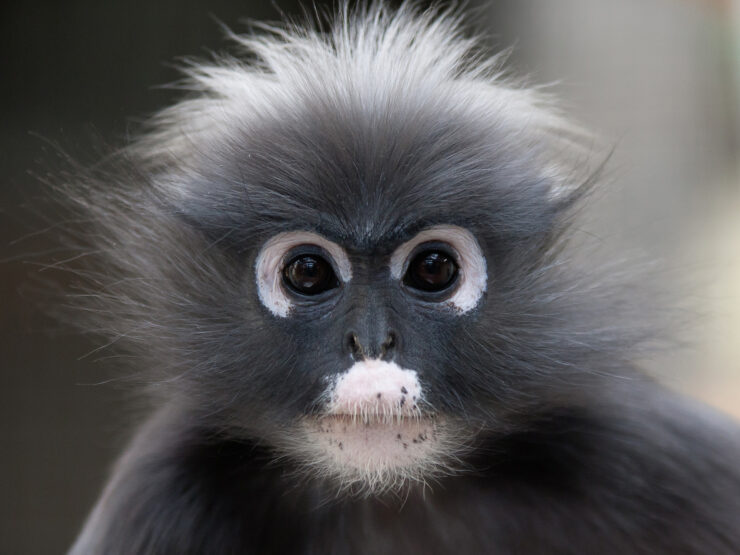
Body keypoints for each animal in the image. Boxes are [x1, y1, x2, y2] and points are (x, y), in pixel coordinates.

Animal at [62, 4, 740, 555]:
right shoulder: (160, 489)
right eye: (308, 271)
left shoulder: (640, 444)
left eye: (433, 268)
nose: (372, 343)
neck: (386, 490)